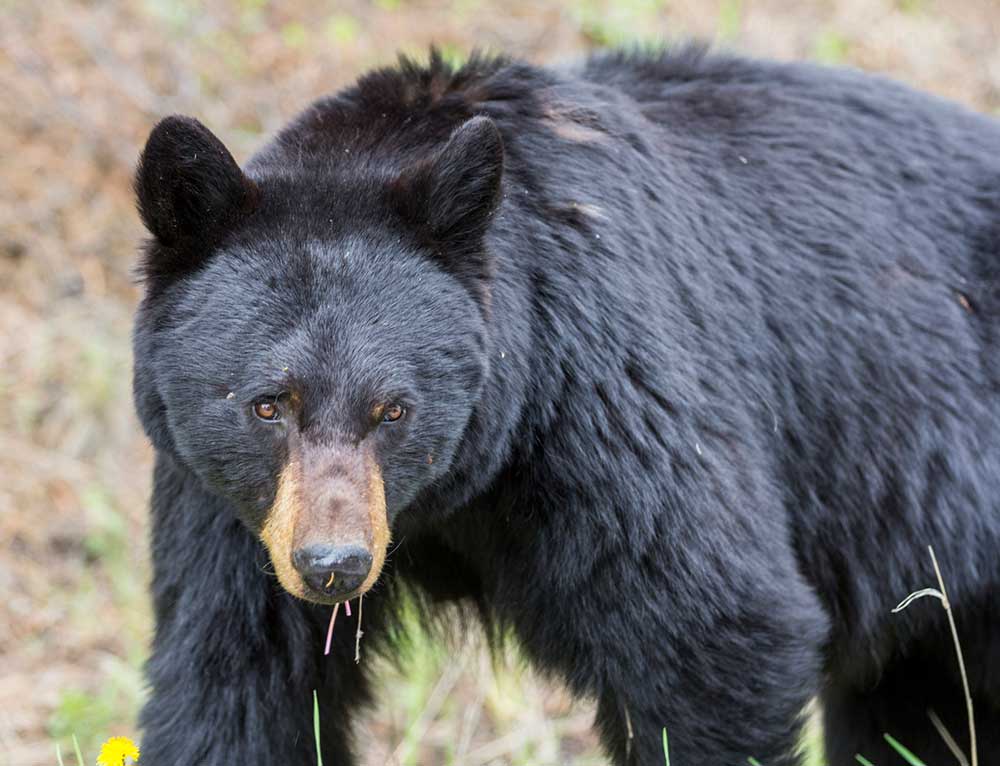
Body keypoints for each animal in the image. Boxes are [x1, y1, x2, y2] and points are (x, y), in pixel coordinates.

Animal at [131, 47, 1000, 765]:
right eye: (267, 405)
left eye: (394, 410)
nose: (333, 565)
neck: (460, 491)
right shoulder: (227, 508)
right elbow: (234, 678)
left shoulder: (608, 400)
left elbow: (713, 632)